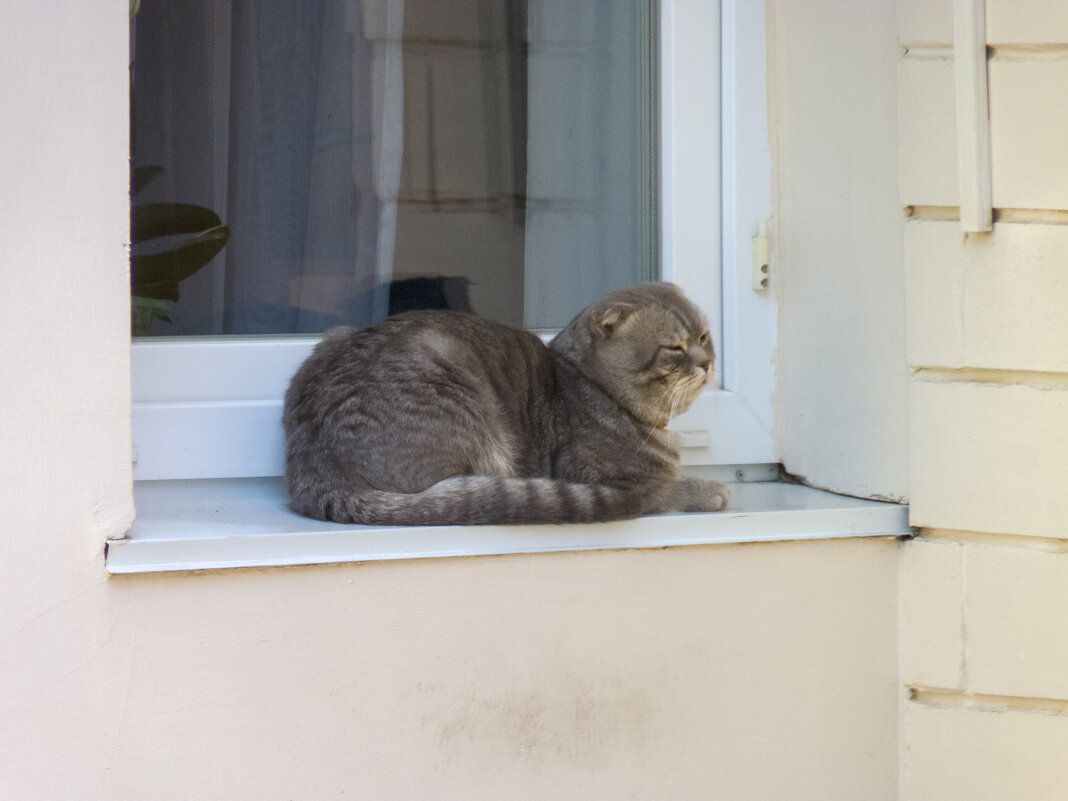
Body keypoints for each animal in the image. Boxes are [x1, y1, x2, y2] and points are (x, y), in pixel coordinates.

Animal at [281, 284, 734, 527]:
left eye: (704, 337)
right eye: (675, 348)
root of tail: (317, 473)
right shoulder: (602, 478)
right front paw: (708, 489)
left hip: (334, 335)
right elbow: (663, 489)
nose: (707, 363)